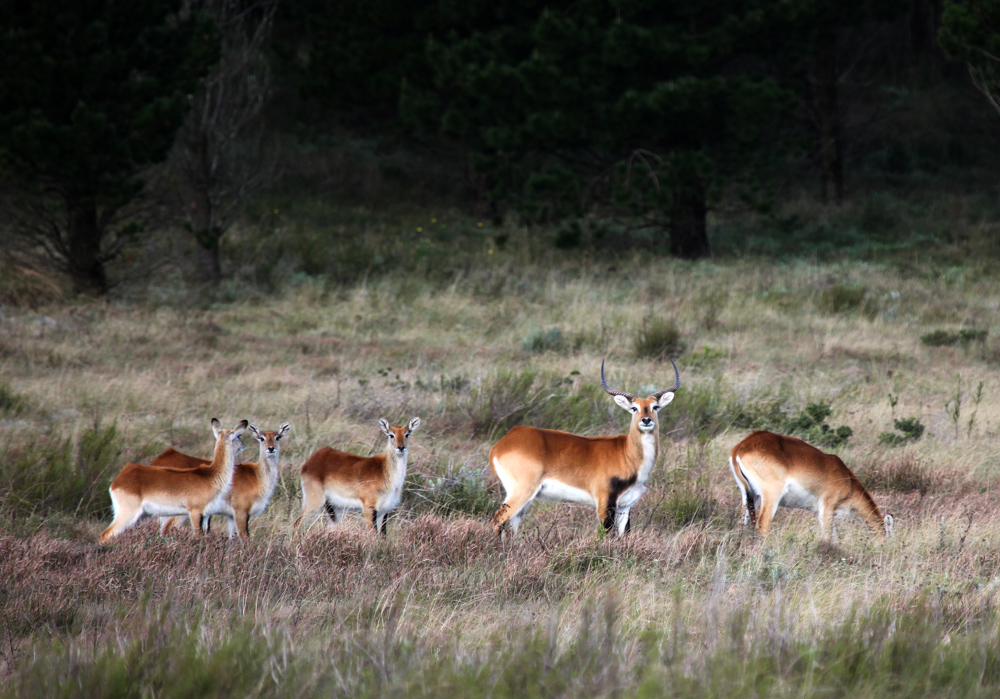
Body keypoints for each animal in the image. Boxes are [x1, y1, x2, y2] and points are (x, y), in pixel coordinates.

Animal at [98, 418, 248, 544]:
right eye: (238, 435)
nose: (243, 446)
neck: (210, 476)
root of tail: (118, 480)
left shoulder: (206, 515)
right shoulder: (195, 512)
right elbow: (198, 537)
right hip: (128, 514)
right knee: (105, 534)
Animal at [152, 422, 292, 540]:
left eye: (278, 437)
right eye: (261, 438)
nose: (271, 448)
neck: (257, 475)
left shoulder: (230, 516)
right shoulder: (241, 512)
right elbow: (245, 538)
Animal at [294, 418, 424, 540]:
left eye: (407, 434)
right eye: (391, 434)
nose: (401, 447)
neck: (385, 473)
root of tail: (313, 459)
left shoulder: (385, 510)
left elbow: (382, 537)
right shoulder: (369, 507)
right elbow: (373, 535)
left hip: (335, 509)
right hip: (315, 502)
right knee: (297, 524)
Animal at [490, 360, 680, 540]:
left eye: (655, 407)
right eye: (634, 408)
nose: (646, 420)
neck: (627, 454)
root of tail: (503, 443)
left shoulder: (625, 506)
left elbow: (623, 535)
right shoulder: (604, 502)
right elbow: (606, 534)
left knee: (513, 523)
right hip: (521, 492)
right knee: (498, 519)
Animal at [732, 432, 896, 540]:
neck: (848, 484)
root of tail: (740, 448)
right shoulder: (826, 510)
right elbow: (828, 538)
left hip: (748, 495)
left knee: (742, 523)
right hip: (771, 496)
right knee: (762, 525)